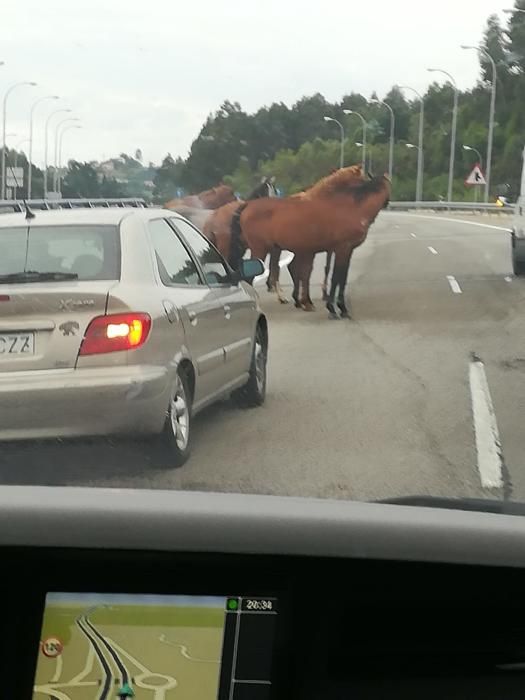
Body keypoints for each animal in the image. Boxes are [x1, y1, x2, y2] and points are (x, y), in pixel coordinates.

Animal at [229, 167, 388, 314]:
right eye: (361, 178)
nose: (386, 202)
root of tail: (247, 206)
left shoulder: (326, 250)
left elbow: (318, 274)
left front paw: (310, 302)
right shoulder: (341, 248)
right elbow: (335, 276)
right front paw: (333, 306)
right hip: (261, 249)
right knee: (253, 277)